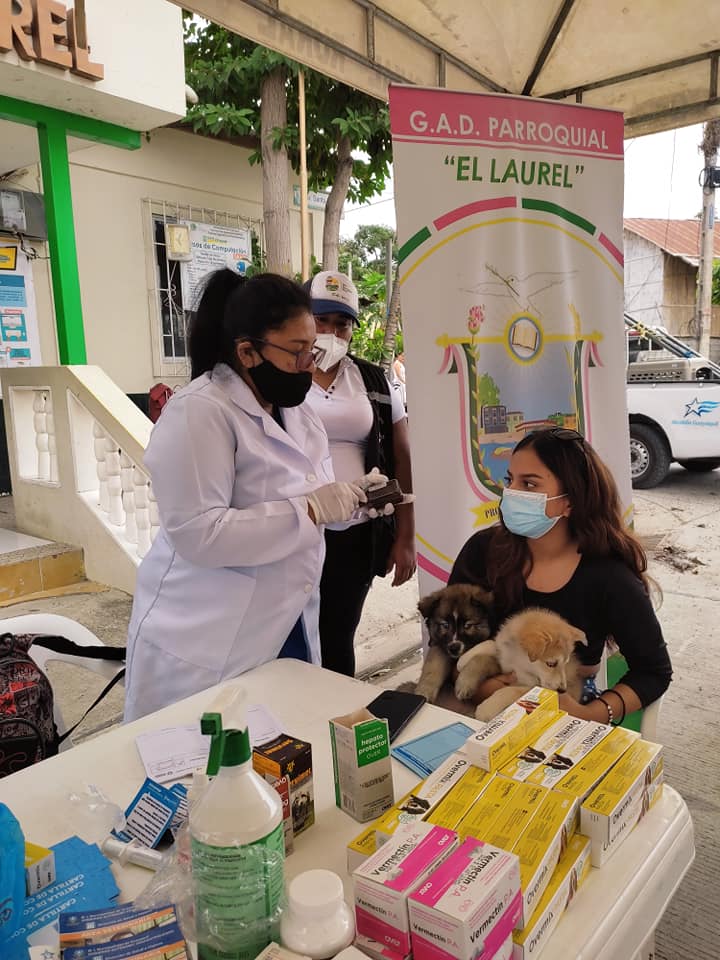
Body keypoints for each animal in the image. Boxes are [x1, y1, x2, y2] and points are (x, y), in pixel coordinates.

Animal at [455, 607, 587, 722]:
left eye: (565, 663)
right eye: (551, 664)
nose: (563, 690)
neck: (520, 663)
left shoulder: (533, 687)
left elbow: (510, 691)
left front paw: (486, 709)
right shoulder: (504, 663)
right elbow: (490, 646)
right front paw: (463, 661)